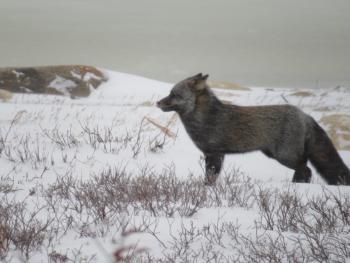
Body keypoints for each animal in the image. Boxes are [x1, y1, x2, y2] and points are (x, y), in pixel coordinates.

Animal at [157, 73, 350, 187]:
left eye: (174, 94)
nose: (157, 102)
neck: (206, 119)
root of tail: (304, 115)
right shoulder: (215, 154)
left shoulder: (214, 153)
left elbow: (210, 178)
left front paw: (206, 189)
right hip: (277, 155)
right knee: (305, 170)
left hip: (285, 156)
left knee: (306, 170)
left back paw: (296, 186)